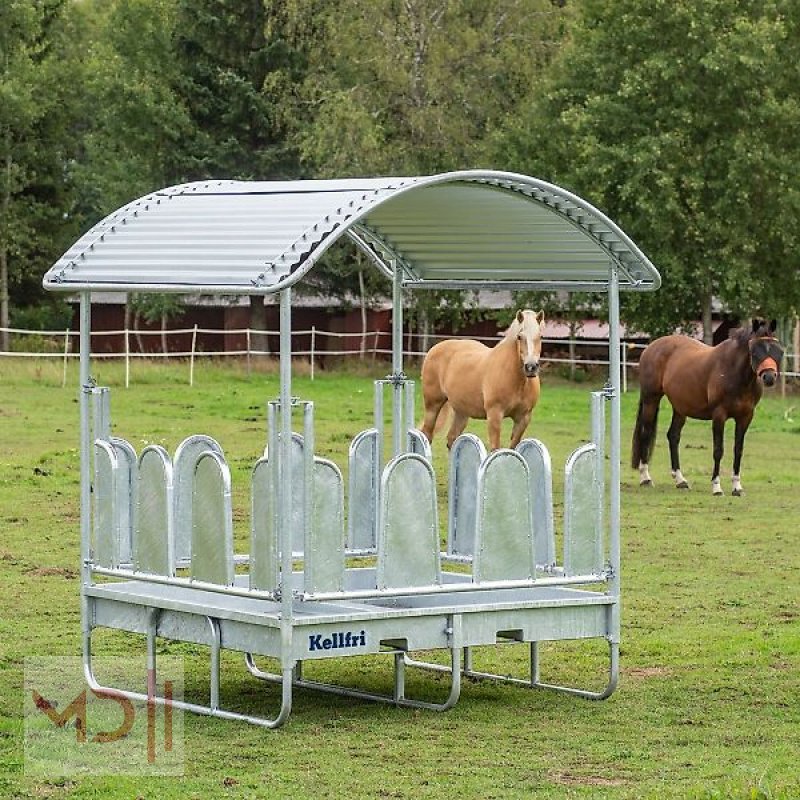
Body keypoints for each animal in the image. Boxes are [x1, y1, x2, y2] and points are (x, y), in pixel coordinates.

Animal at [420, 309, 545, 451]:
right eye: (519, 336)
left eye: (540, 336)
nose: (531, 367)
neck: (517, 382)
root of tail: (434, 349)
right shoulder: (494, 415)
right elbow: (495, 448)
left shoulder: (523, 419)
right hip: (432, 406)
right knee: (427, 434)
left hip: (461, 412)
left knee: (452, 438)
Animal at [631, 319, 783, 496]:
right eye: (754, 351)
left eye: (778, 350)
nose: (769, 377)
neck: (735, 373)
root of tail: (650, 347)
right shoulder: (719, 415)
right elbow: (718, 450)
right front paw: (717, 487)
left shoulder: (745, 417)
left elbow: (738, 450)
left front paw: (737, 487)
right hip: (651, 399)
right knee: (646, 433)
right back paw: (645, 478)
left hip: (680, 407)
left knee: (673, 436)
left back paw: (680, 480)